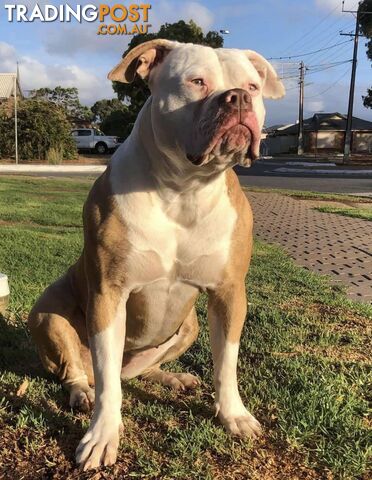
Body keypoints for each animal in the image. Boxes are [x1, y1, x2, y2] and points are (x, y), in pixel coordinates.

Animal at [28, 39, 284, 470]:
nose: (238, 98)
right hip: (49, 312)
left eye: (252, 85)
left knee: (137, 372)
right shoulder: (108, 294)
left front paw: (233, 415)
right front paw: (102, 435)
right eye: (196, 82)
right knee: (84, 372)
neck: (184, 189)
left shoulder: (230, 293)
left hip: (190, 326)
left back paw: (170, 377)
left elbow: (226, 363)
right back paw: (82, 393)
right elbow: (108, 385)